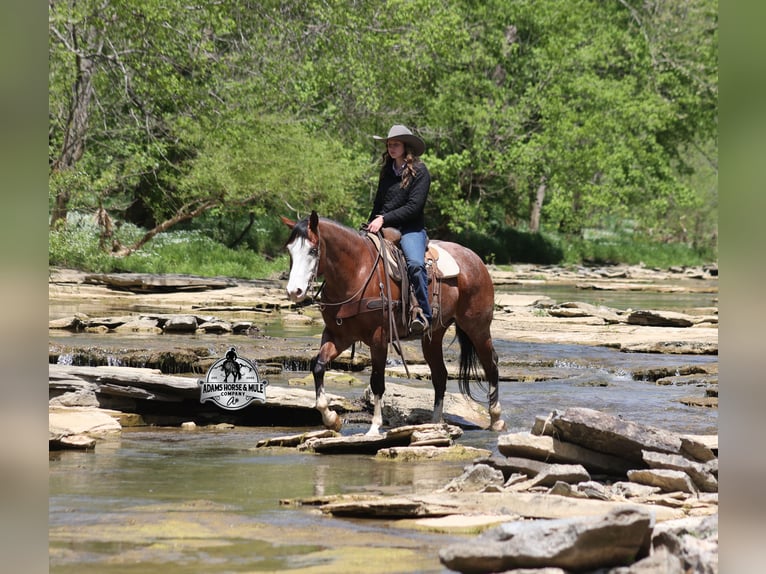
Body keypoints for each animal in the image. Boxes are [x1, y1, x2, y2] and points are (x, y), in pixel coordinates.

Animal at [282, 211, 505, 434]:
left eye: (313, 250)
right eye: (289, 250)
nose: (294, 291)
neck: (357, 272)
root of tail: (475, 259)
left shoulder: (378, 338)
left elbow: (377, 381)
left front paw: (374, 427)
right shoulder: (337, 335)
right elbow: (318, 366)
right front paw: (331, 419)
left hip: (477, 327)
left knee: (491, 364)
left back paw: (495, 419)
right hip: (434, 335)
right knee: (440, 374)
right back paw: (435, 422)